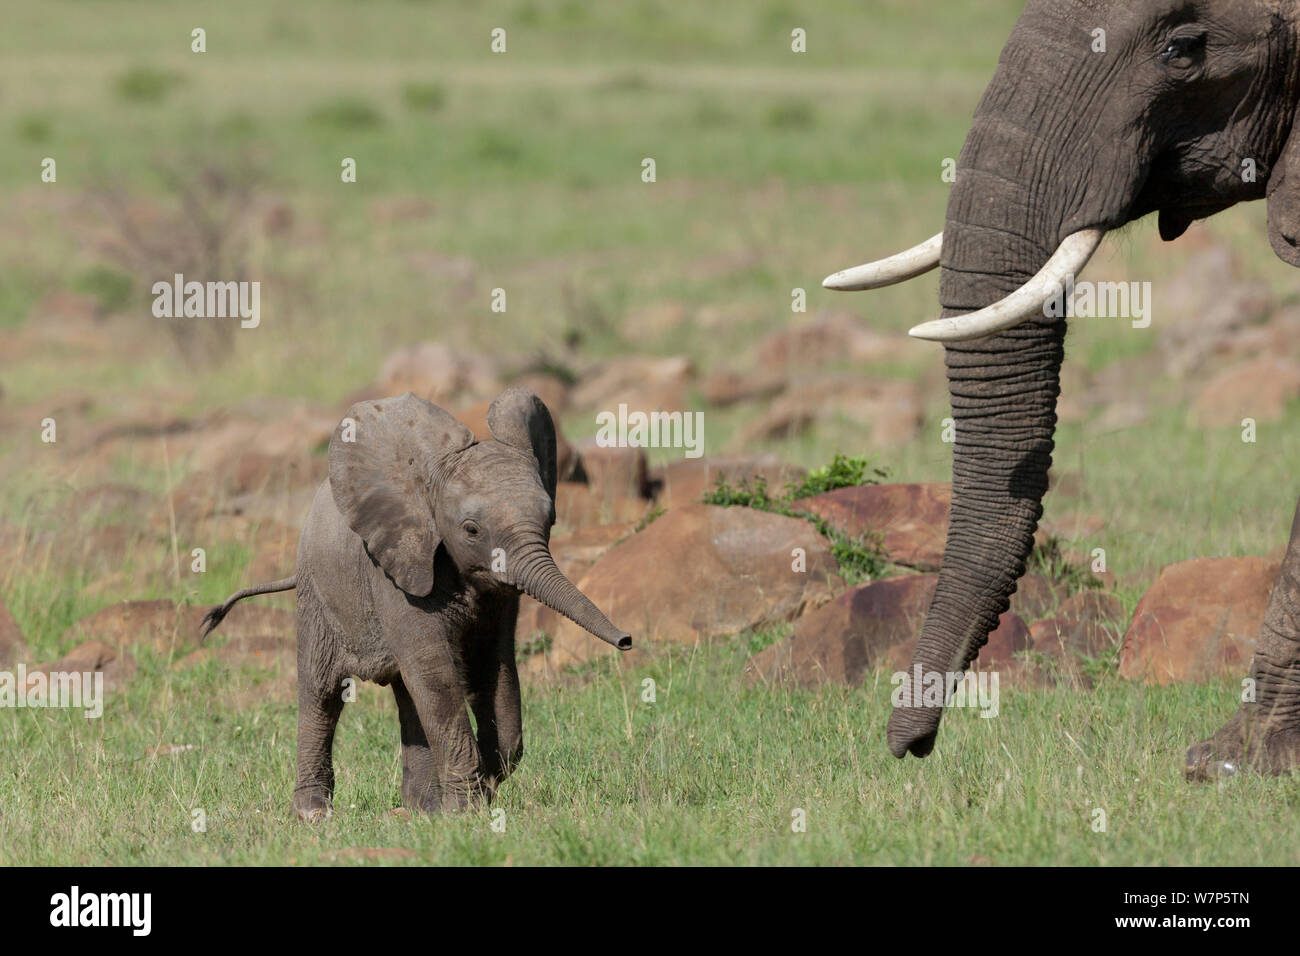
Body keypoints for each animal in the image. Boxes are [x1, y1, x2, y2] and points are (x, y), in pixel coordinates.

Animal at [200, 390, 631, 822]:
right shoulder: (393, 570)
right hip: (316, 594)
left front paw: (480, 788)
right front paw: (466, 809)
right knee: (321, 693)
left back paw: (421, 808)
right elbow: (435, 675)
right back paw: (313, 814)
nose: (626, 641)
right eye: (471, 530)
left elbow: (492, 669)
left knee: (407, 693)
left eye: (551, 518)